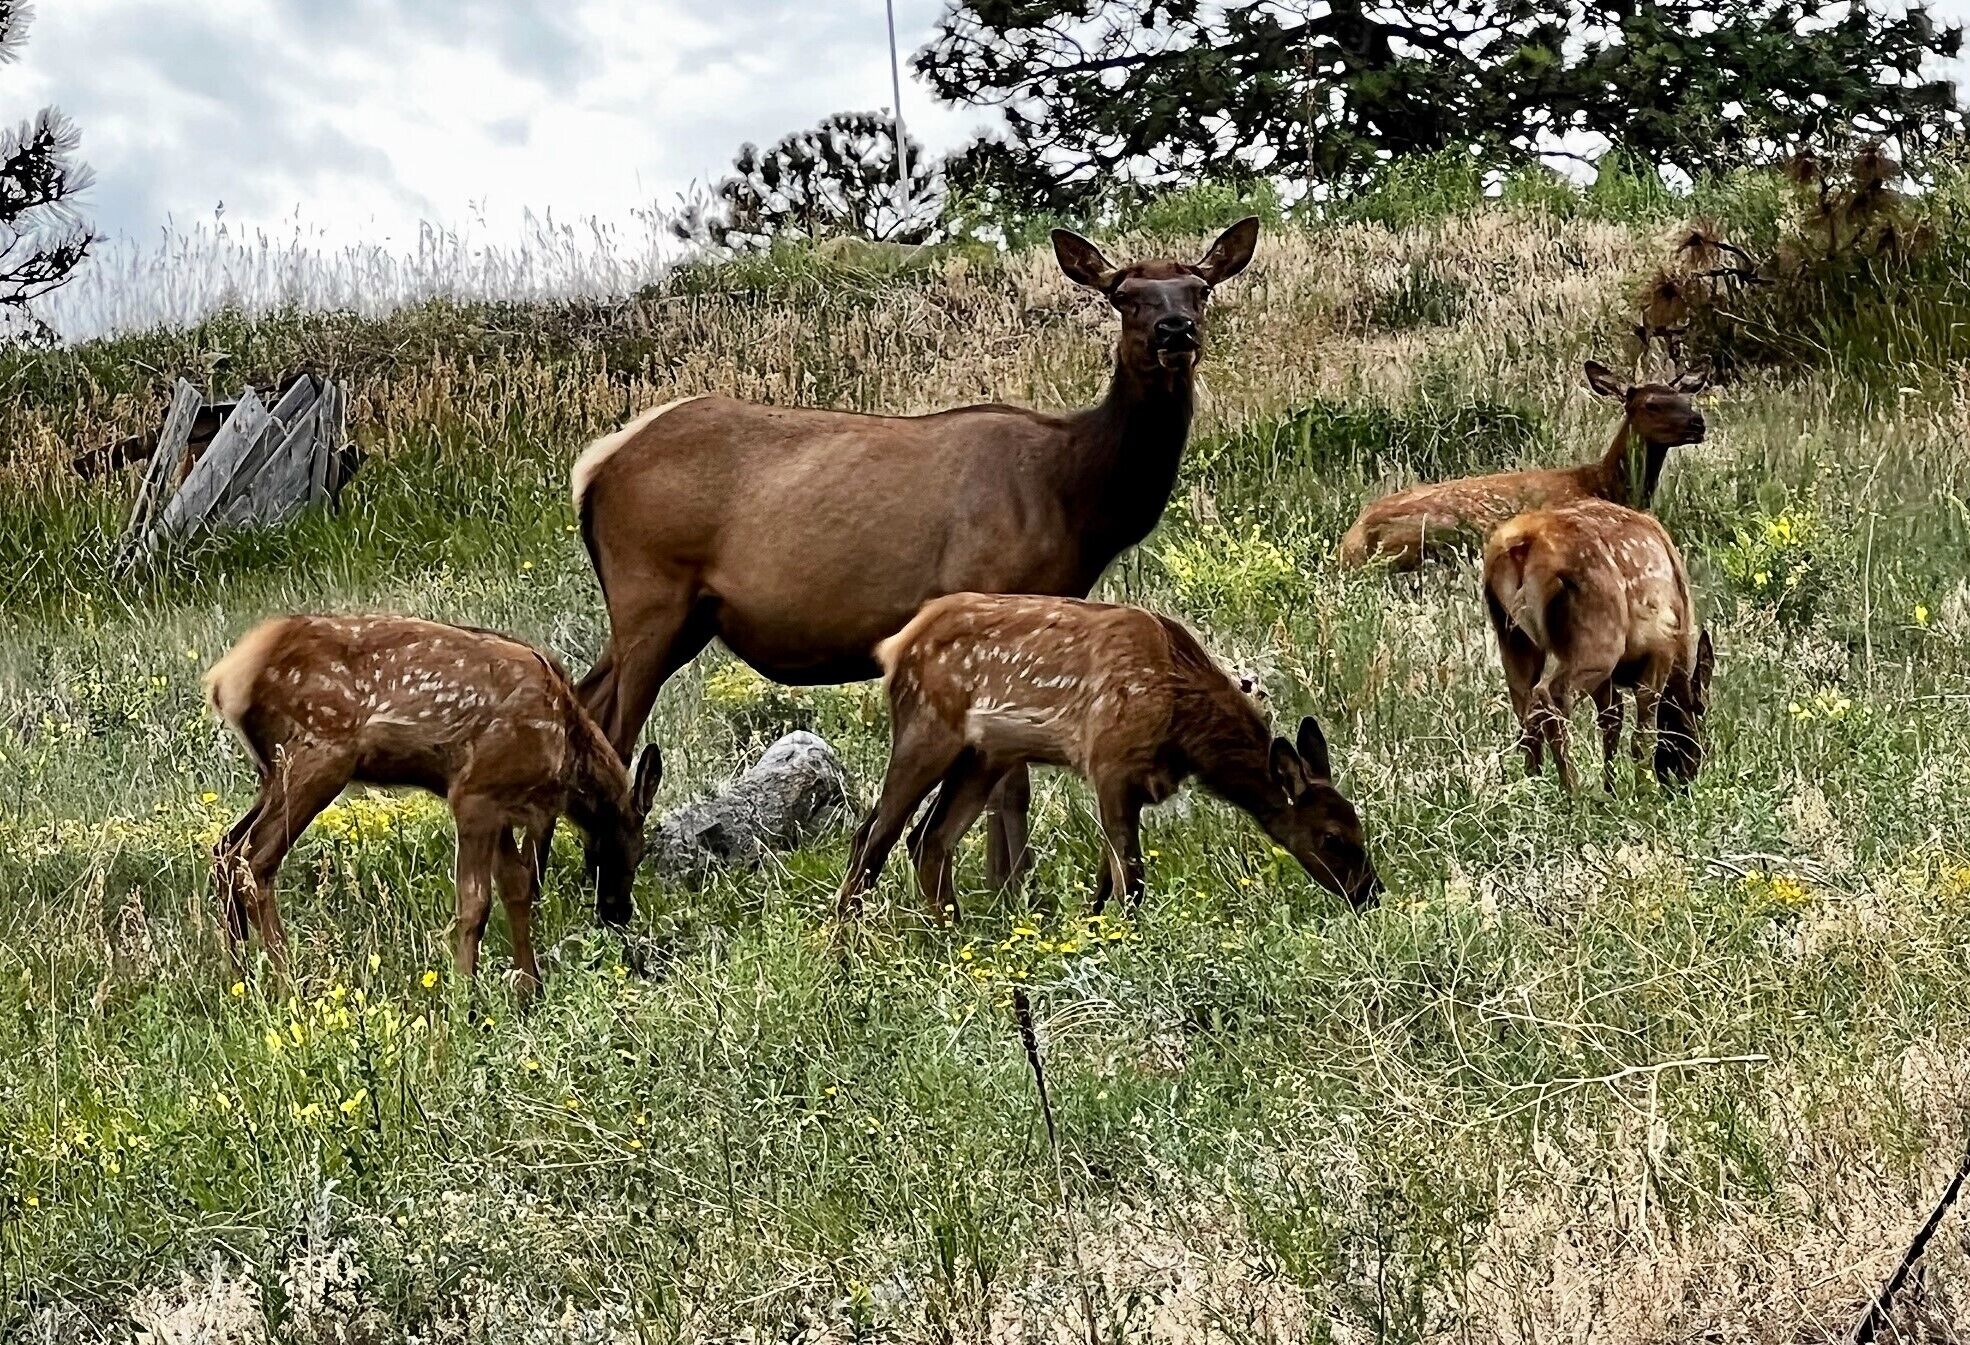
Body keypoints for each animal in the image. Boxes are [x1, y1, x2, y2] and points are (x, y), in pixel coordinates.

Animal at [203, 614, 663, 998]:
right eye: (638, 850)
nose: (618, 911)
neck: (565, 752)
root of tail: (227, 679)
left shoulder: (499, 801)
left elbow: (516, 888)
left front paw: (529, 991)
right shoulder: (475, 792)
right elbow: (476, 903)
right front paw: (465, 997)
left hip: (274, 772)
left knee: (225, 846)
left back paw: (237, 974)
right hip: (318, 755)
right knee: (254, 858)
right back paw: (286, 983)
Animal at [569, 218, 1262, 907]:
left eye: (1199, 289)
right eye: (1124, 296)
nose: (1176, 330)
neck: (1077, 497)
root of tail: (594, 467)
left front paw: (1004, 889)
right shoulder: (987, 592)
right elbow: (1010, 784)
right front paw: (1010, 893)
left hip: (684, 617)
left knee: (584, 698)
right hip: (651, 590)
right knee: (616, 730)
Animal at [834, 593, 1383, 921]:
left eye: (1360, 828)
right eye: (1331, 837)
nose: (1370, 893)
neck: (1181, 721)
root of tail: (895, 646)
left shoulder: (1133, 780)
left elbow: (1107, 877)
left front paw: (1096, 935)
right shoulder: (1110, 761)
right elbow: (1132, 880)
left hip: (984, 756)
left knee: (926, 839)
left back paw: (950, 939)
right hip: (928, 730)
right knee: (874, 839)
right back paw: (844, 957)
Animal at [1339, 361, 1708, 570]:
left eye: (1687, 399)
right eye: (1651, 405)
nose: (1698, 422)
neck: (1607, 485)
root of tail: (1351, 541)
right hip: (1441, 531)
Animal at [1481, 498, 1716, 792]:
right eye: (1700, 722)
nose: (1685, 781)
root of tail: (1521, 545)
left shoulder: (1611, 680)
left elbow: (1612, 719)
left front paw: (1611, 789)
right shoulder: (1660, 649)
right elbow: (1643, 734)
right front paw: (1642, 790)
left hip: (1513, 639)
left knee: (1525, 710)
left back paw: (1533, 784)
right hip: (1599, 638)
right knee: (1551, 696)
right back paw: (1572, 790)